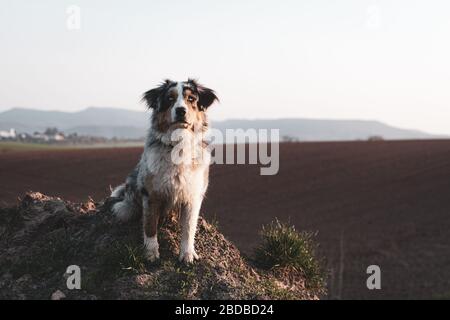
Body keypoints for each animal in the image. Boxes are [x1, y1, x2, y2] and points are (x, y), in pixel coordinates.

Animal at [111, 79, 219, 264]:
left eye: (191, 99)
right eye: (170, 99)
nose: (181, 110)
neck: (179, 145)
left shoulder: (192, 195)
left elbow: (189, 228)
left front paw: (187, 255)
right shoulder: (150, 194)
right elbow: (150, 227)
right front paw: (151, 254)